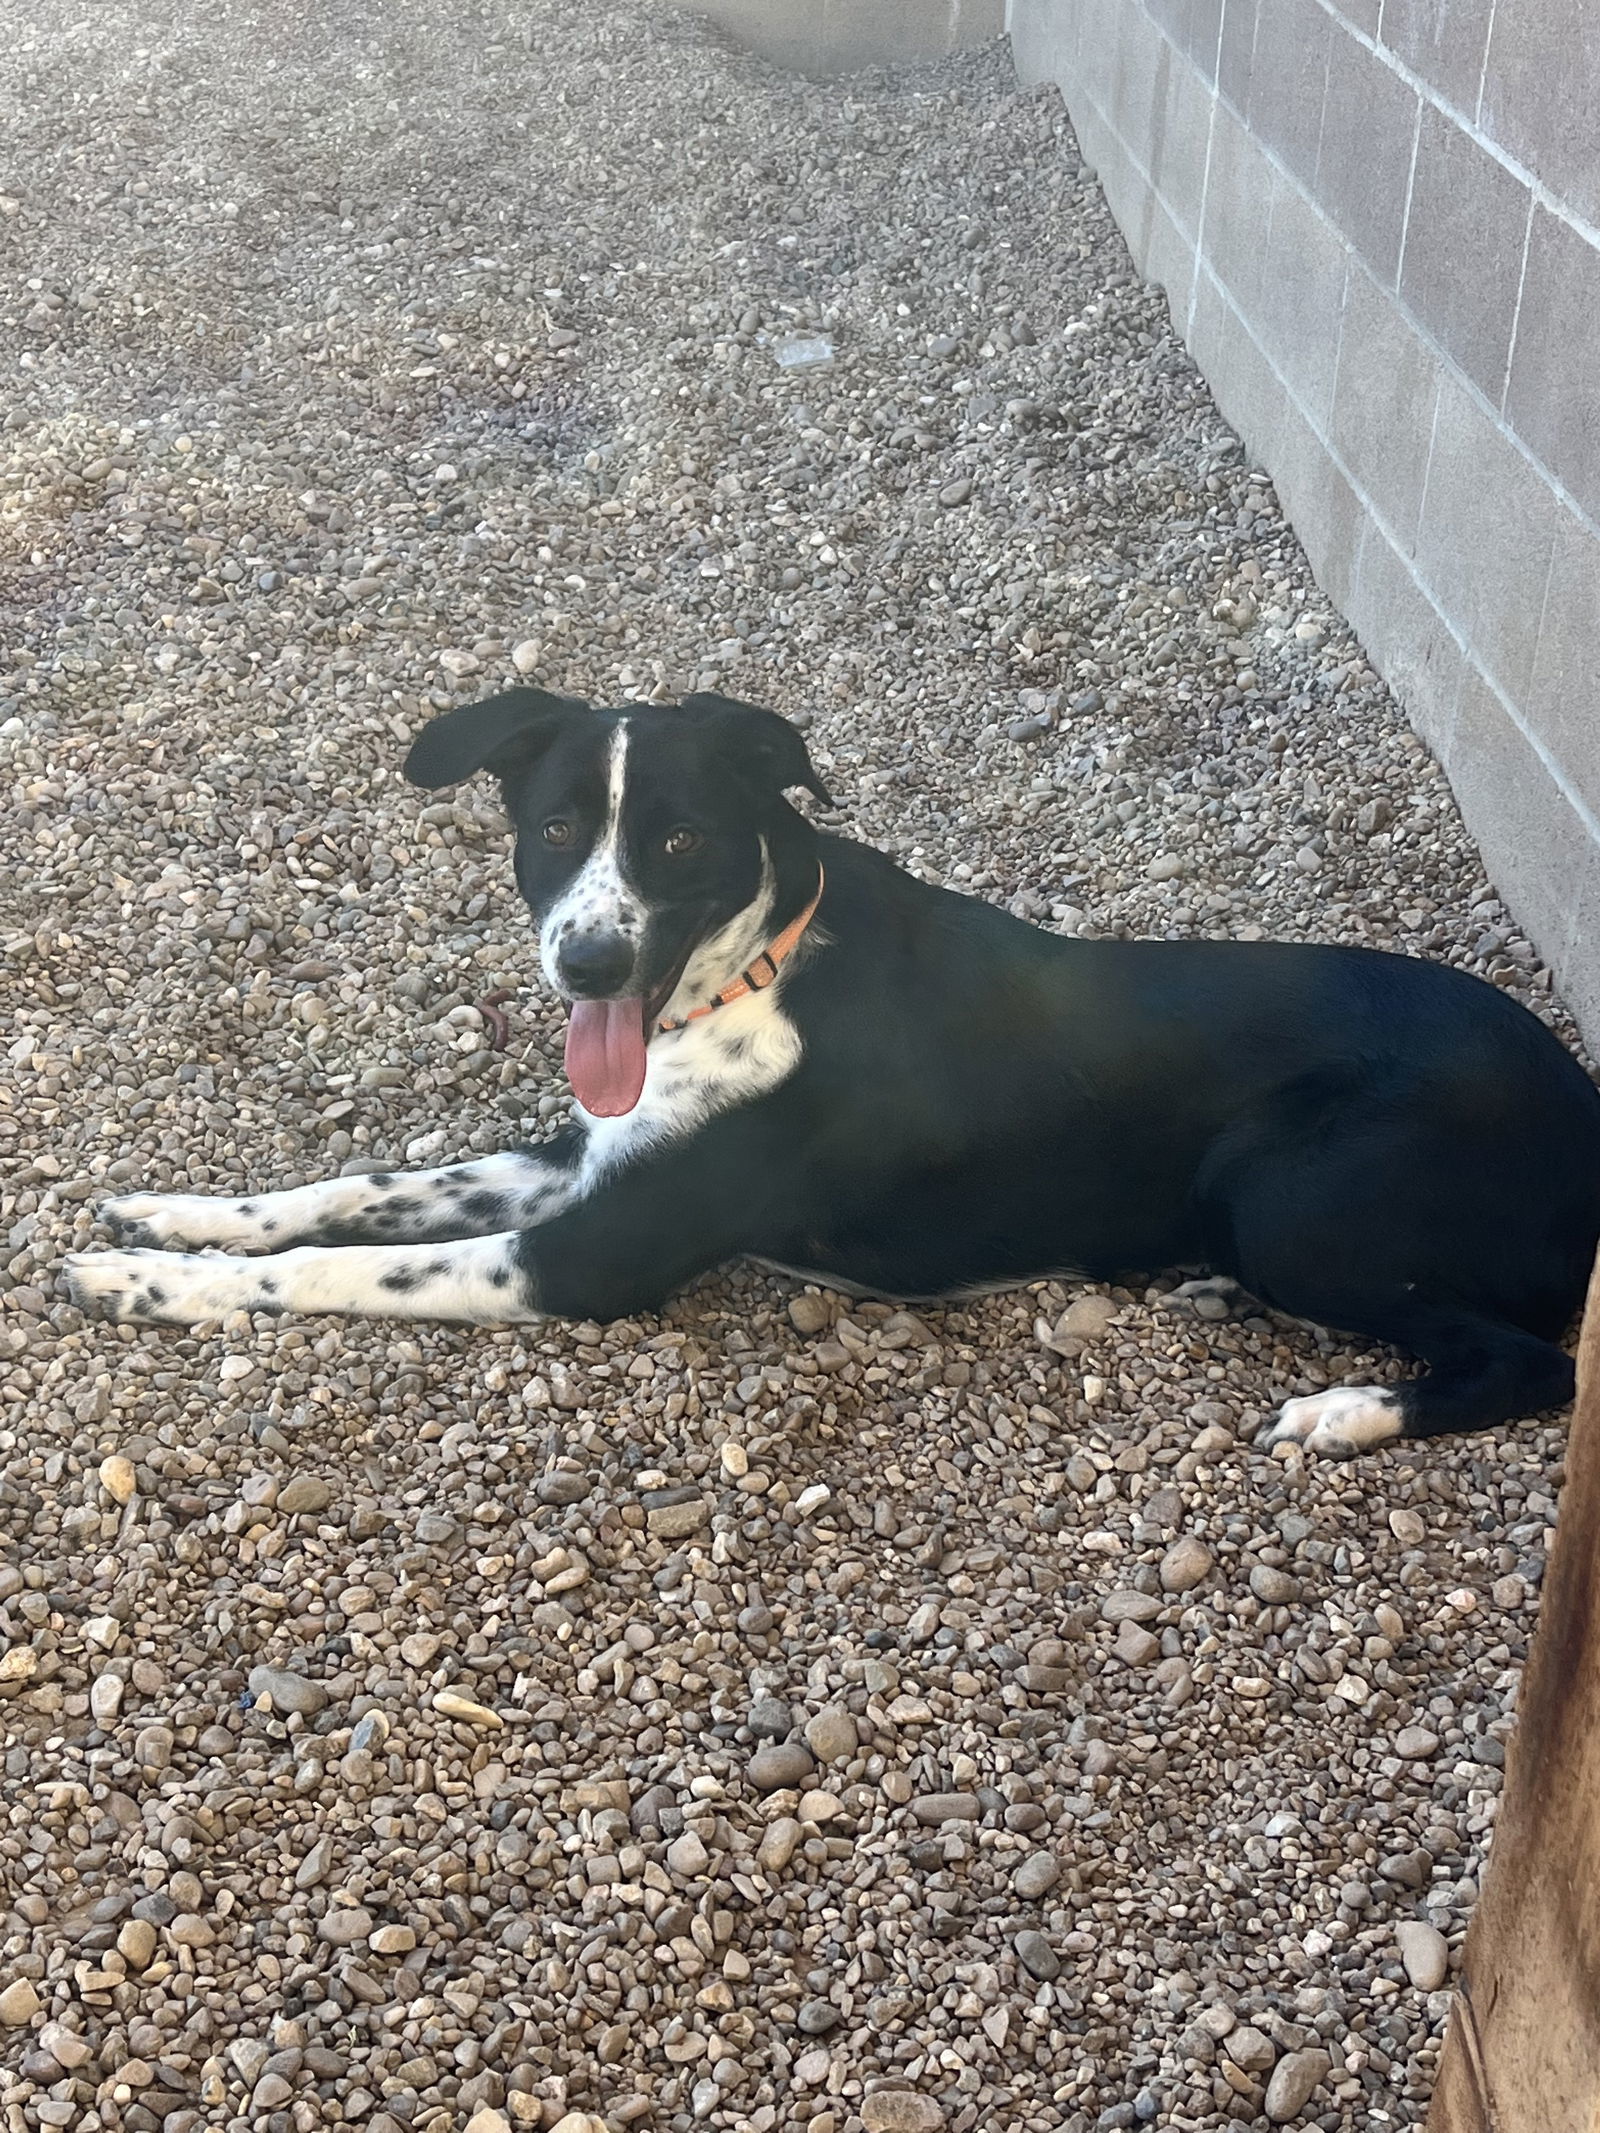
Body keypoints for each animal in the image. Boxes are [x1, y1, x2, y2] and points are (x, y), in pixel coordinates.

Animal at [68, 691, 1600, 1458]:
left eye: (682, 841)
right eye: (557, 827)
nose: (589, 965)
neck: (754, 974)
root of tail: (1580, 1098)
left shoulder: (586, 1257)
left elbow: (340, 1267)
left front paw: (154, 1287)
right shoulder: (586, 1158)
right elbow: (354, 1188)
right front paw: (170, 1218)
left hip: (1292, 1202)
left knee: (1531, 1363)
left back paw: (1349, 1411)